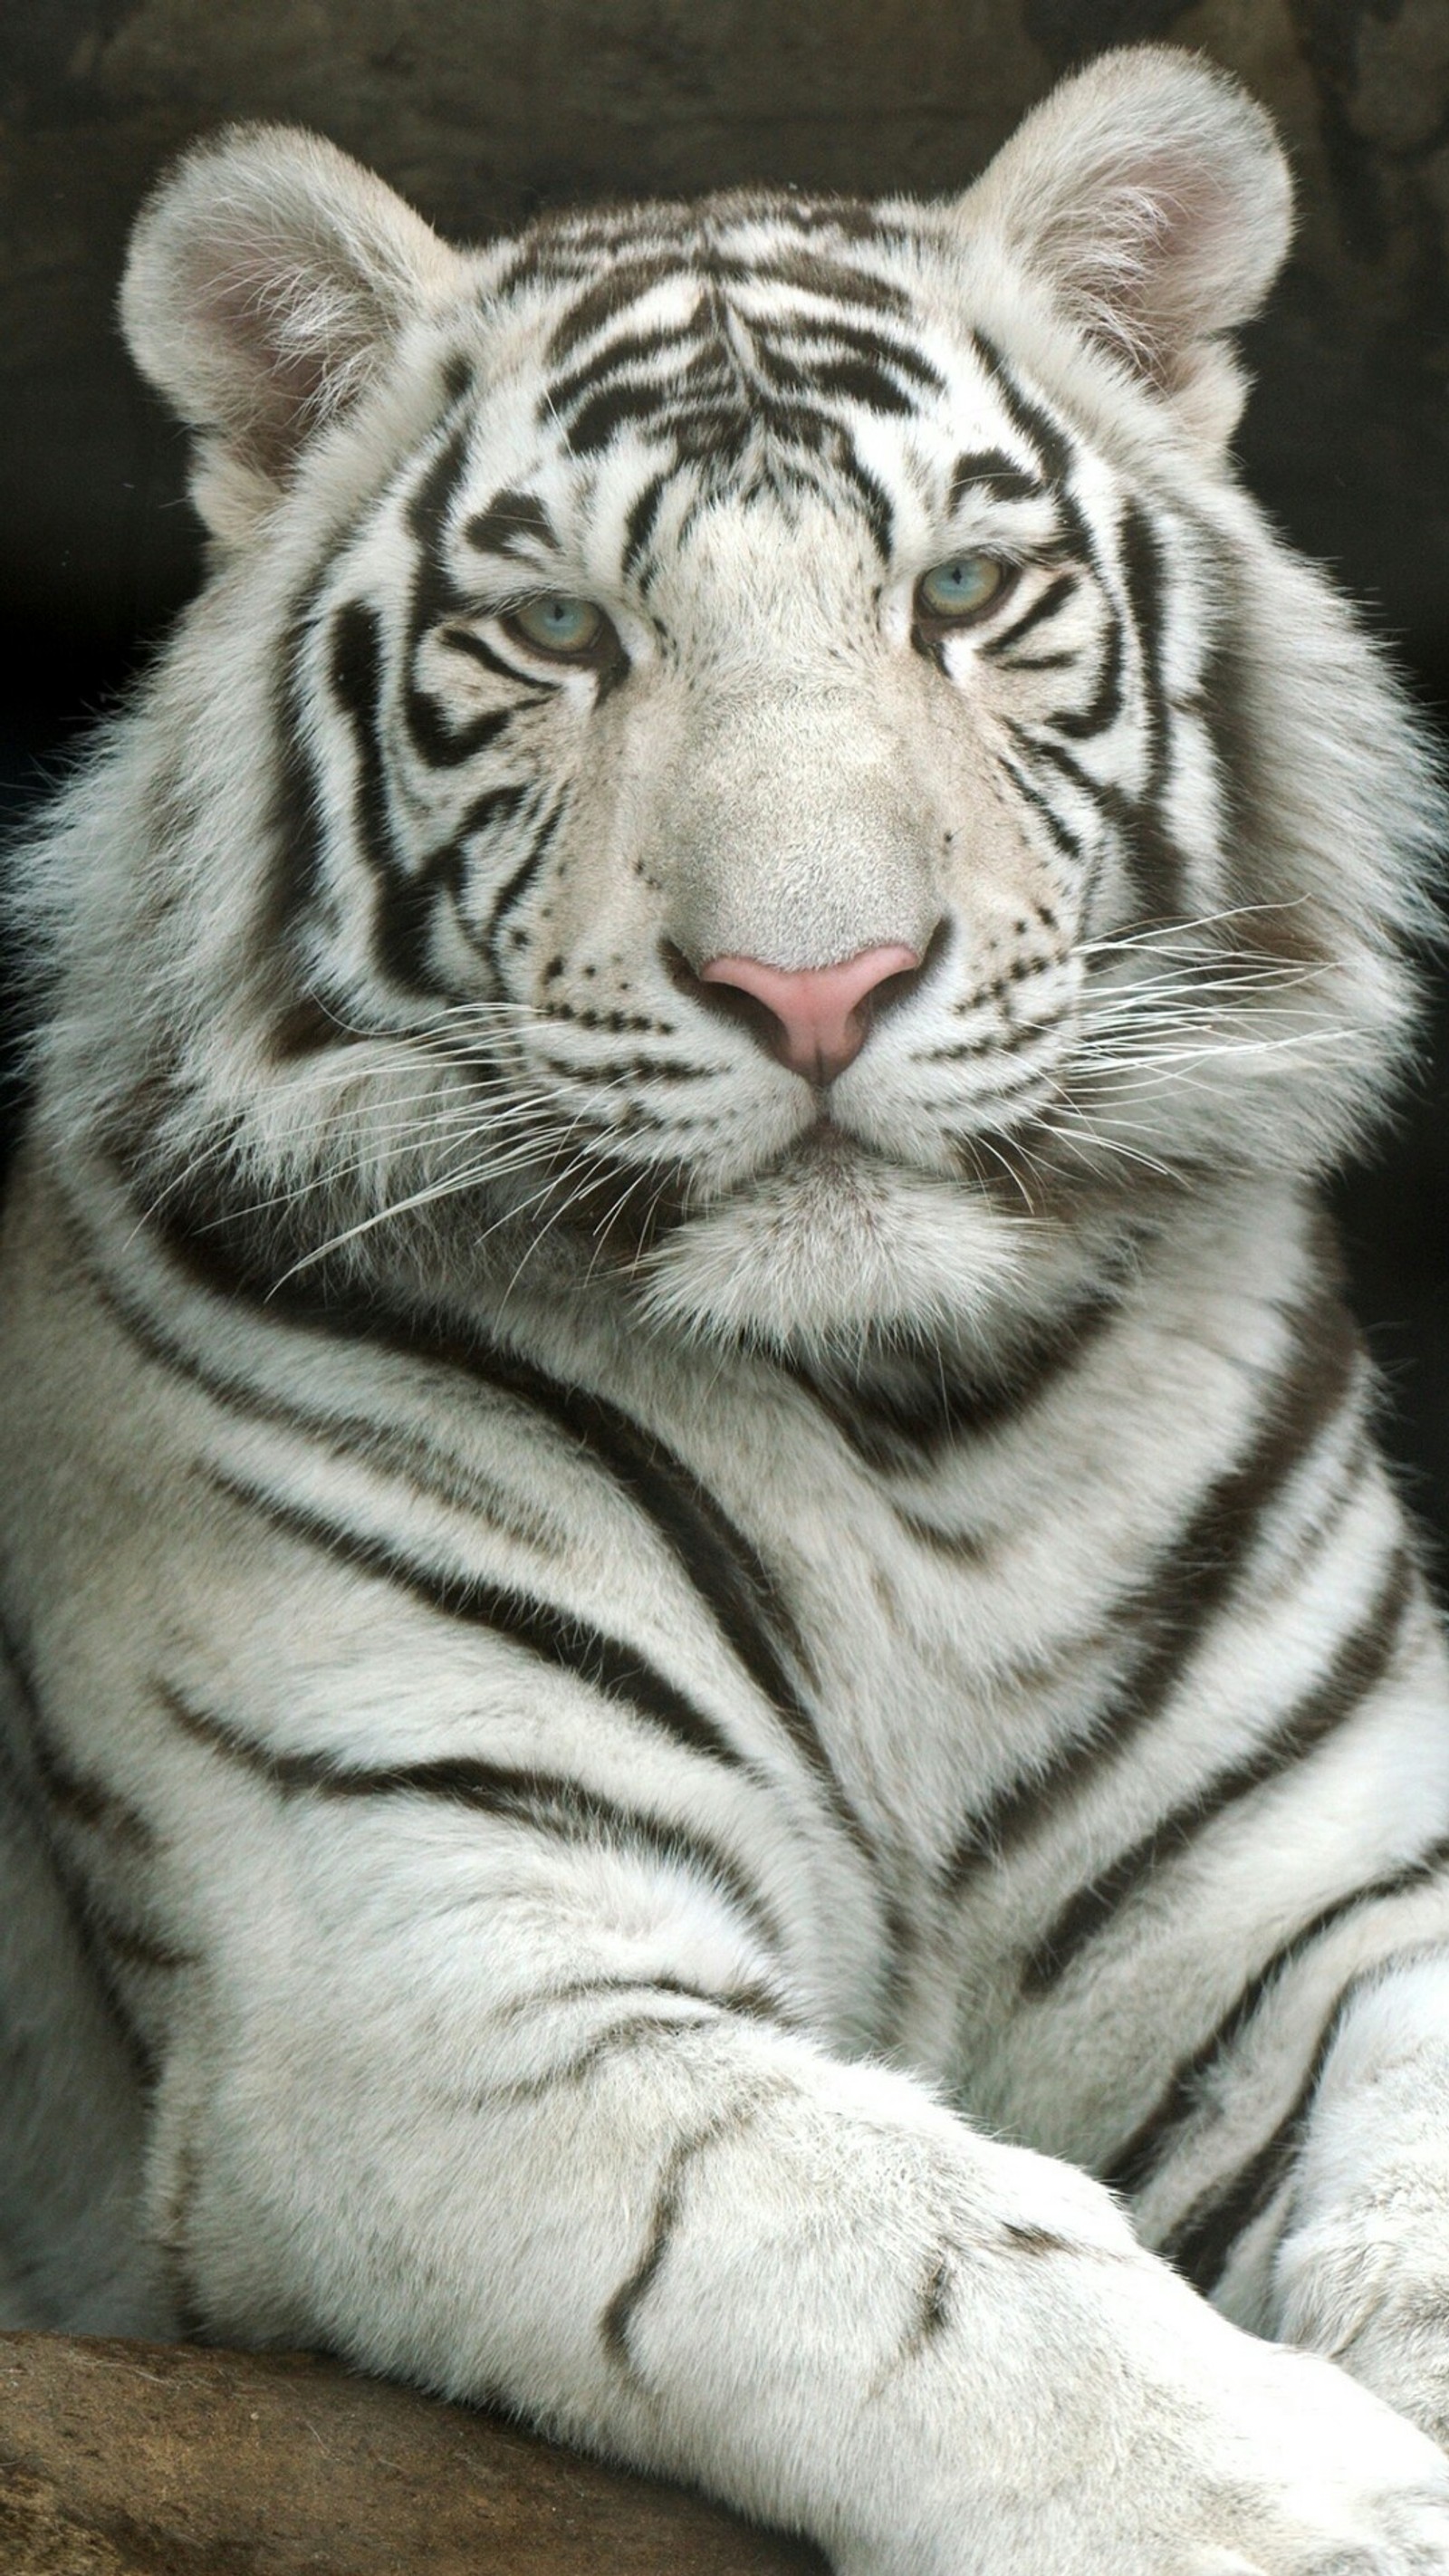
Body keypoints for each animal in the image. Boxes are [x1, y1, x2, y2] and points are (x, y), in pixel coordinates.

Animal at [3, 40, 1449, 2576]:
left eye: (961, 591)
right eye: (563, 631)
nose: (816, 982)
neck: (923, 1433)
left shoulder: (1335, 1895)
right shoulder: (422, 1957)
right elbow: (928, 2259)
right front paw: (1339, 2508)